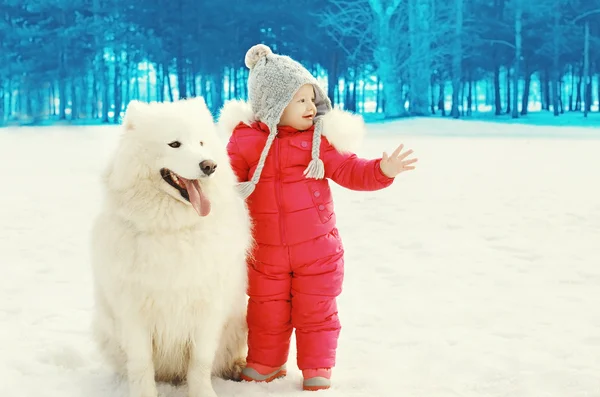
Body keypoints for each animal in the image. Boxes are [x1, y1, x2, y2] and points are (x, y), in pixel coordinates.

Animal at [88, 96, 251, 396]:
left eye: (201, 143)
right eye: (174, 144)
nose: (209, 166)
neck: (171, 229)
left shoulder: (207, 309)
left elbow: (200, 363)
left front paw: (203, 393)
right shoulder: (134, 312)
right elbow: (141, 364)